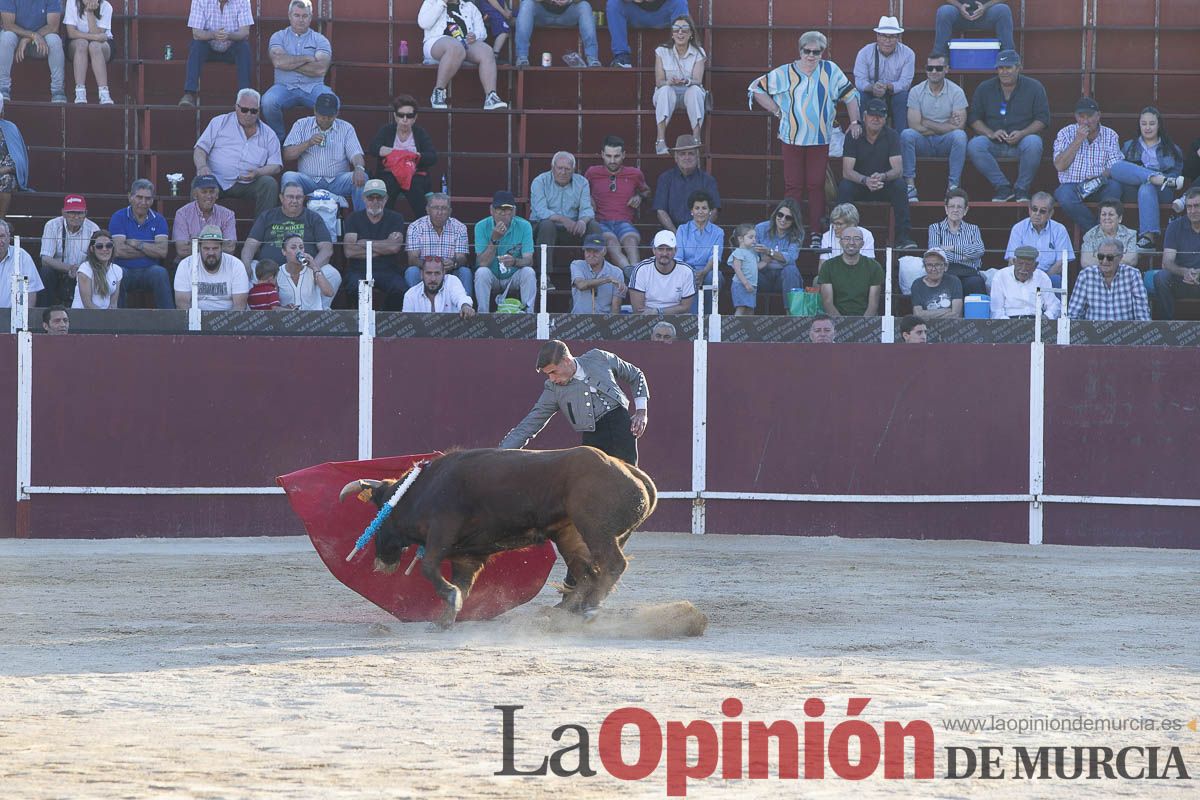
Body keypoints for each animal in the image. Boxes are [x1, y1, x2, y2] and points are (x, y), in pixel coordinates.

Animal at [338, 448, 657, 628]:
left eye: (381, 510)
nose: (381, 560)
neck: (420, 490)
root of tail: (625, 467)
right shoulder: (466, 556)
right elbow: (461, 584)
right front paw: (446, 617)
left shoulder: (443, 530)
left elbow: (429, 566)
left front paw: (449, 601)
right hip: (570, 534)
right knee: (586, 571)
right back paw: (562, 611)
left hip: (595, 528)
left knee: (611, 565)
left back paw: (589, 609)